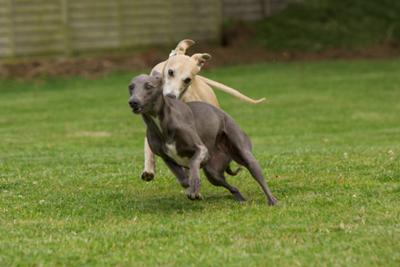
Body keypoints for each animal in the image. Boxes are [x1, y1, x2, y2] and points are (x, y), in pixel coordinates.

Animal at [129, 72, 278, 206]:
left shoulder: (201, 149)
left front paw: (194, 186)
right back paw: (241, 199)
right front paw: (194, 191)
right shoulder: (167, 158)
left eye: (149, 86)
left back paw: (273, 201)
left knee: (259, 177)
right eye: (131, 87)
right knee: (233, 187)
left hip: (244, 153)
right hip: (213, 173)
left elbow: (193, 164)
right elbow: (183, 180)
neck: (161, 123)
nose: (133, 102)